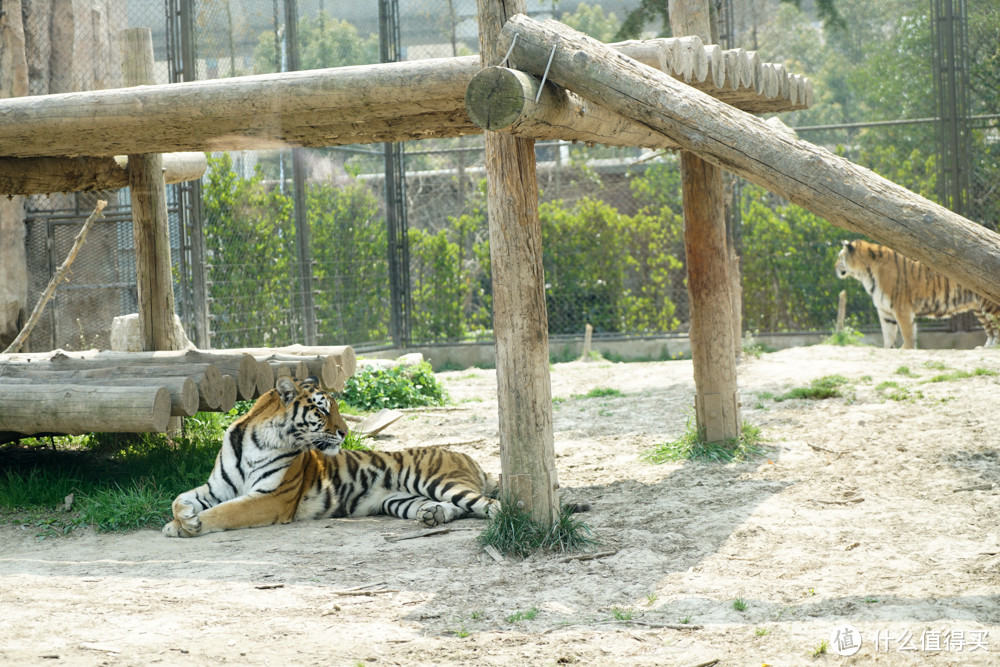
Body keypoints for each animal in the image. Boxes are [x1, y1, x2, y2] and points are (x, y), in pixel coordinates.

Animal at [163, 376, 500, 536]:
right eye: (323, 410)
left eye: (337, 408)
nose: (345, 431)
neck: (257, 440)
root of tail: (467, 457)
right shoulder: (217, 487)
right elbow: (180, 498)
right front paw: (179, 521)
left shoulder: (271, 497)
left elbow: (225, 512)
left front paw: (188, 526)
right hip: (400, 500)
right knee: (457, 509)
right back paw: (432, 515)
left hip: (440, 483)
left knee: (487, 504)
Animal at [836, 240, 1000, 350]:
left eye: (840, 257)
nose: (834, 266)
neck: (864, 273)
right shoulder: (885, 311)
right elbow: (888, 335)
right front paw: (888, 349)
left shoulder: (901, 307)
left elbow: (907, 332)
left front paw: (906, 349)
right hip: (979, 308)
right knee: (990, 329)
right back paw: (985, 348)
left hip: (989, 305)